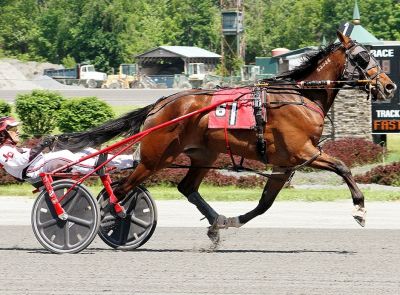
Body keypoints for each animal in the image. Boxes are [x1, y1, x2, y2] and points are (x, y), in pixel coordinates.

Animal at [54, 31, 396, 242]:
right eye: (363, 57)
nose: (389, 86)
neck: (299, 96)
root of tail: (160, 104)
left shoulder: (284, 164)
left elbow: (264, 204)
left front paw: (230, 222)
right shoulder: (303, 152)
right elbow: (342, 167)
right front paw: (360, 209)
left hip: (201, 154)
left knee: (185, 187)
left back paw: (215, 221)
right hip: (155, 156)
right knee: (119, 189)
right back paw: (107, 220)